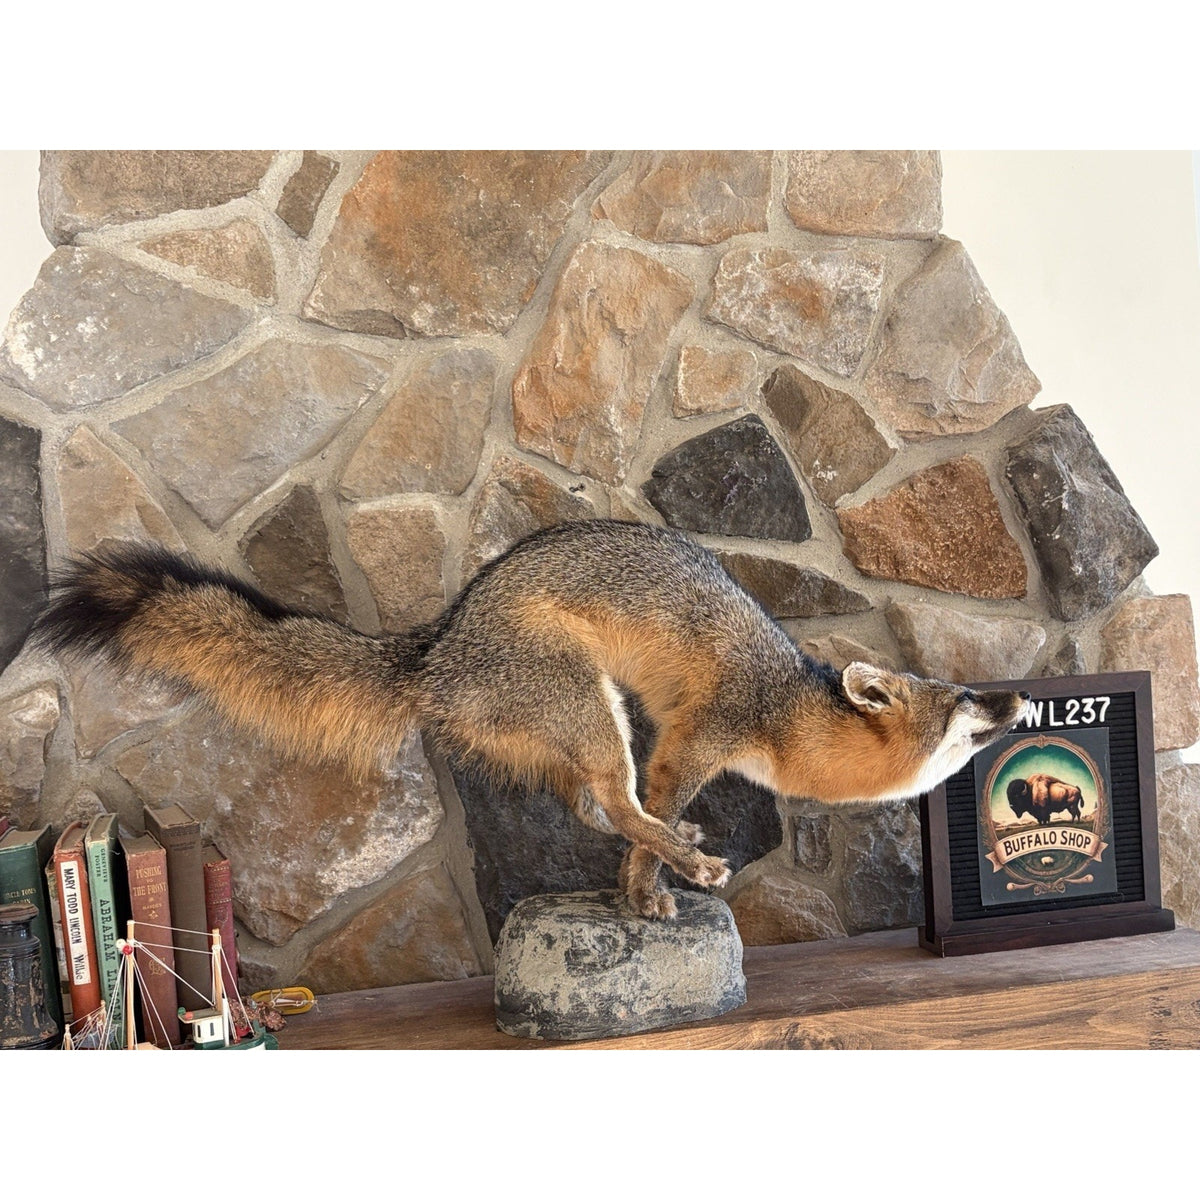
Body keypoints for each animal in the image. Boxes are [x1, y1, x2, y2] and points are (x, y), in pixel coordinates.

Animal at [33, 518, 1030, 919]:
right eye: (966, 699)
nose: (1021, 696)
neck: (786, 706)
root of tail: (437, 645)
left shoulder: (683, 748)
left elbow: (633, 827)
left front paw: (640, 890)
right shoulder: (689, 741)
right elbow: (653, 808)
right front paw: (654, 886)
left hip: (586, 728)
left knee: (592, 806)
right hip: (594, 706)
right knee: (614, 803)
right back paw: (691, 856)